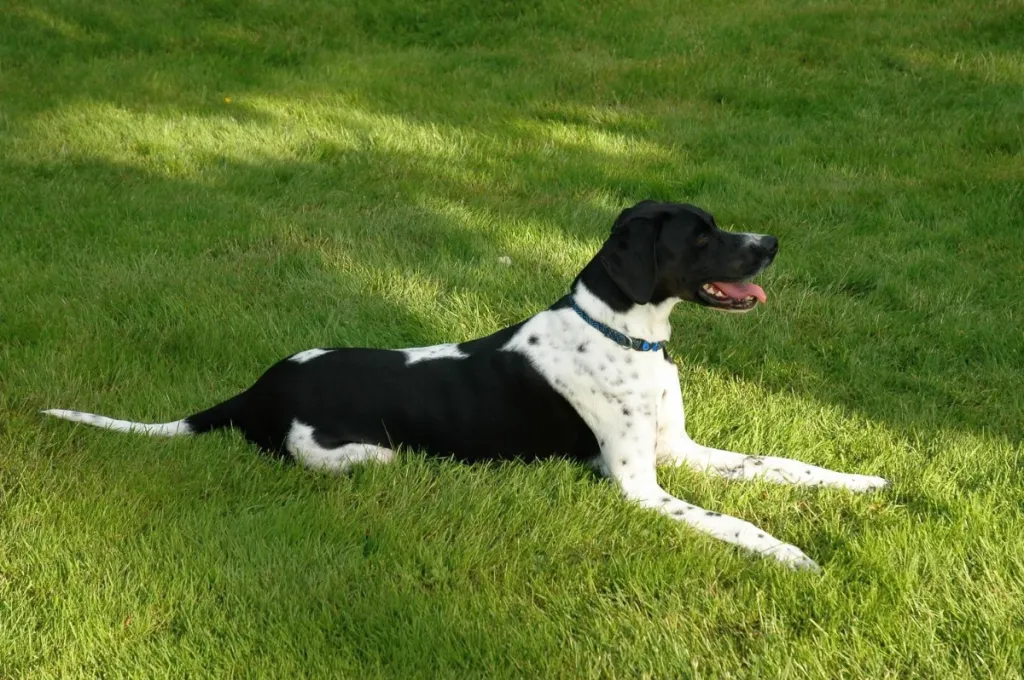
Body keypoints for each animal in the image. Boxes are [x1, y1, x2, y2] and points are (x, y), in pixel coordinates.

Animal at [41, 200, 888, 569]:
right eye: (703, 236)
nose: (771, 242)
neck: (626, 333)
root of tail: (256, 391)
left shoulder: (678, 451)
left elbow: (784, 466)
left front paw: (864, 482)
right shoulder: (641, 486)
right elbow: (734, 522)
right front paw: (792, 554)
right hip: (354, 454)